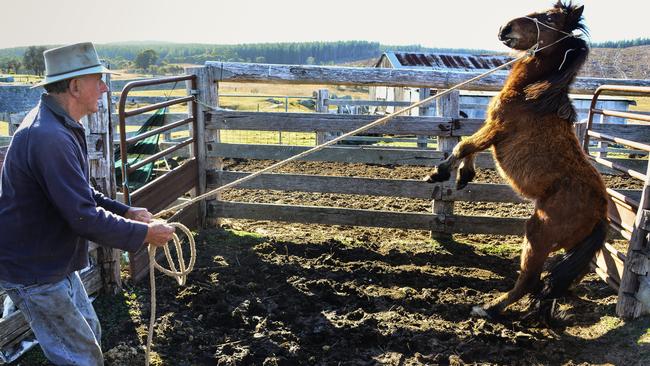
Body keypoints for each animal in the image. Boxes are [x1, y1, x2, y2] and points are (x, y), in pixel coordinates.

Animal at [426, 0, 608, 320]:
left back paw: (487, 308)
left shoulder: (496, 128)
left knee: (529, 280)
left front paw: (440, 173)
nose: (505, 28)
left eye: (550, 19)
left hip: (538, 234)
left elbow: (463, 145)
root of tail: (600, 214)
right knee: (556, 283)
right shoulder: (491, 129)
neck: (532, 96)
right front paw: (463, 176)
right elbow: (470, 148)